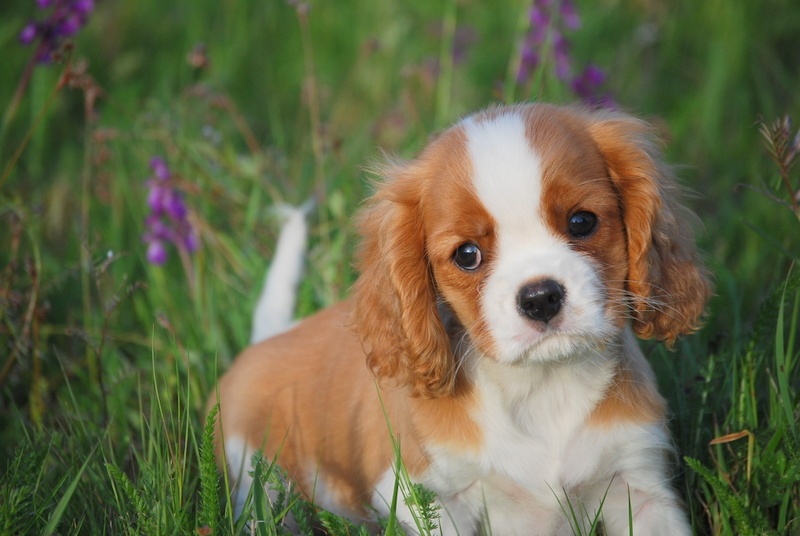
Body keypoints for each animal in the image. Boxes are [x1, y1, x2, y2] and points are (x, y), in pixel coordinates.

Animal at [208, 103, 711, 535]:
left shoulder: (638, 484)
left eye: (582, 222)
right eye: (467, 255)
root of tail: (267, 341)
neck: (540, 386)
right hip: (260, 480)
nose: (540, 298)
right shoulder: (424, 497)